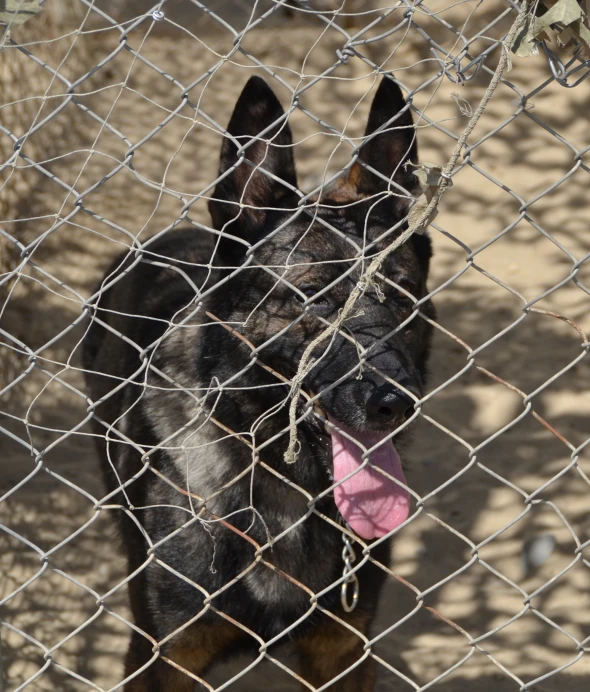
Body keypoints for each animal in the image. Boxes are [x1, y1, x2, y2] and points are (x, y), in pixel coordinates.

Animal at [82, 73, 434, 688]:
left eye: (403, 296)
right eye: (315, 300)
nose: (397, 402)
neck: (284, 488)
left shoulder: (343, 649)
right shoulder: (163, 656)